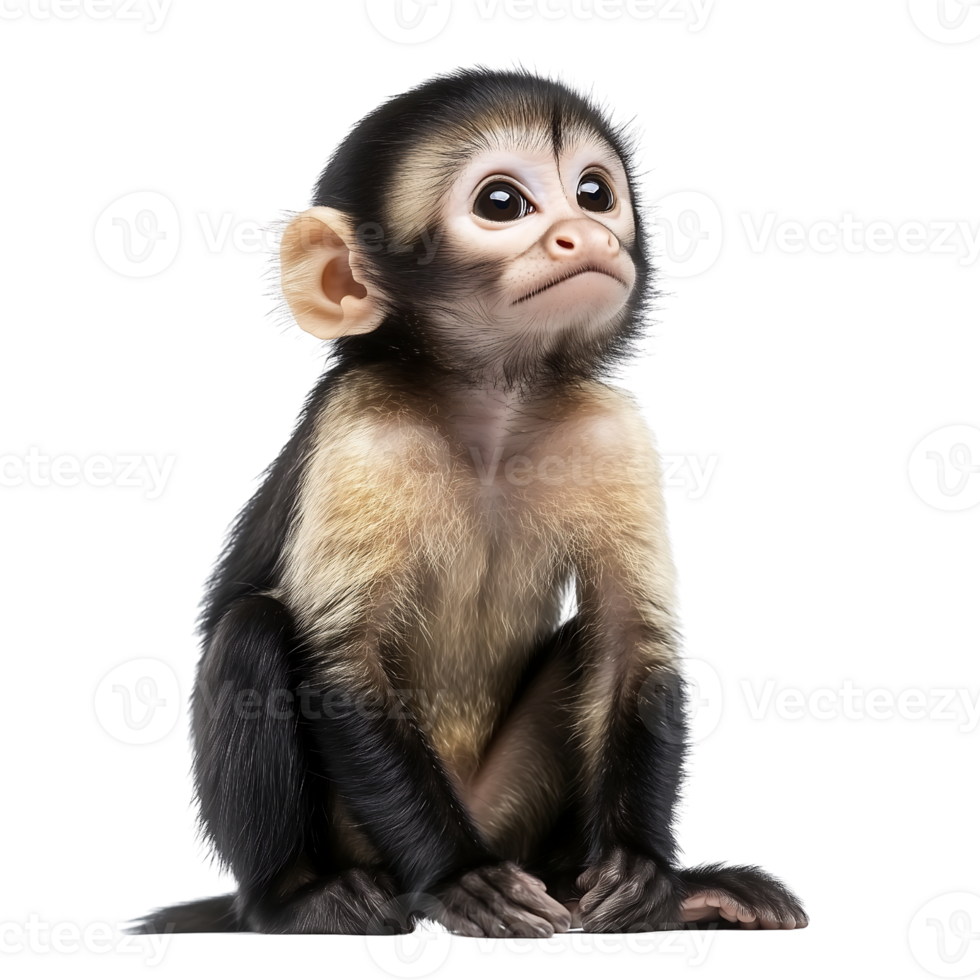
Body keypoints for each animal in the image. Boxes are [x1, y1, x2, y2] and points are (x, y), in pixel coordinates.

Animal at [128, 61, 809, 939]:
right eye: (502, 204)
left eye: (594, 193)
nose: (586, 234)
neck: (490, 408)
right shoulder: (363, 434)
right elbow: (340, 664)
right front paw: (460, 879)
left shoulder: (610, 430)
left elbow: (633, 644)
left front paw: (645, 872)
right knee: (252, 632)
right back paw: (298, 900)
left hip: (508, 807)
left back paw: (636, 884)